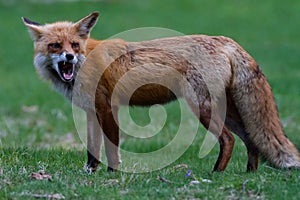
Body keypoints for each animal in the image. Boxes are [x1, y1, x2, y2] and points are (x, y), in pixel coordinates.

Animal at [22, 11, 300, 173]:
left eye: (74, 45)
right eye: (55, 45)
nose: (69, 56)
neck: (85, 60)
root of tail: (225, 40)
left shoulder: (106, 108)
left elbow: (111, 149)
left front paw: (112, 176)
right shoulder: (92, 112)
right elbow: (92, 149)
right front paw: (90, 174)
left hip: (202, 107)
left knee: (229, 140)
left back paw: (216, 174)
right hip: (230, 111)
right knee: (252, 140)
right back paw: (249, 174)